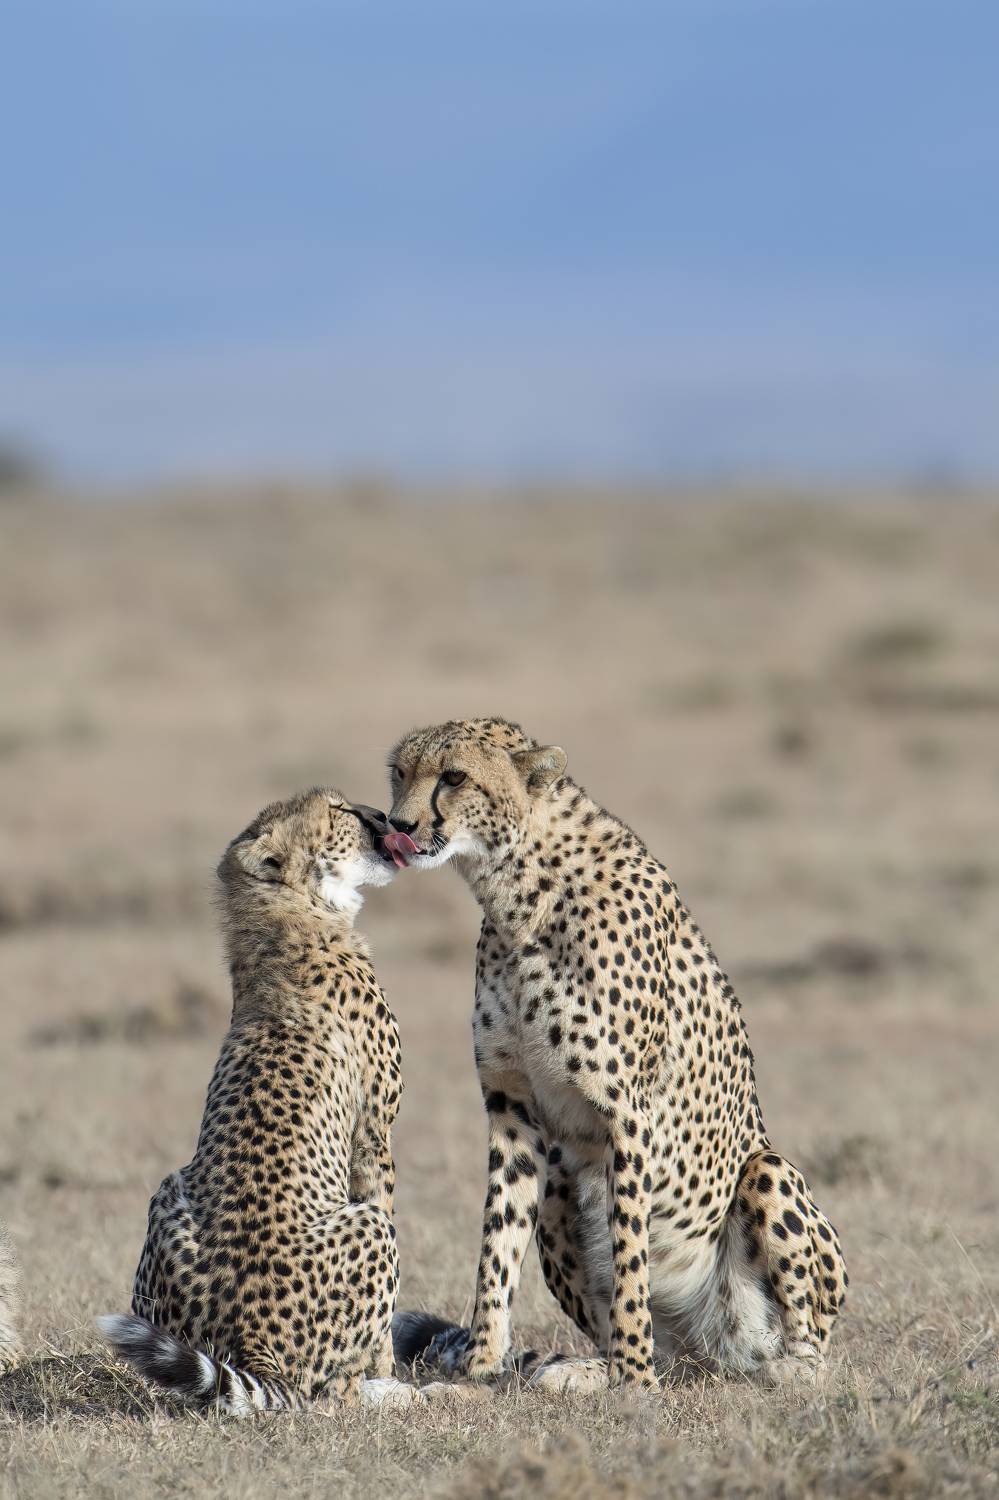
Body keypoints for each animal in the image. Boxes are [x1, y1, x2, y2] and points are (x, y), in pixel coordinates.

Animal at [99, 788, 418, 1414]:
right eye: (339, 810)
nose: (385, 818)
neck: (296, 918)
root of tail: (250, 1340)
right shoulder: (375, 1135)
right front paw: (389, 1368)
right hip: (371, 1230)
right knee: (330, 1391)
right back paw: (398, 1391)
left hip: (166, 1192)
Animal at [384, 718, 847, 1393]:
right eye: (400, 772)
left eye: (454, 776)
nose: (400, 824)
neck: (521, 894)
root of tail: (705, 1353)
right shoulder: (511, 1106)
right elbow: (498, 1239)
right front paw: (480, 1364)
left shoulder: (628, 1112)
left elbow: (630, 1247)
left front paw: (634, 1378)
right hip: (559, 1190)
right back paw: (585, 1370)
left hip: (769, 1173)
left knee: (805, 1339)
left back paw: (778, 1366)